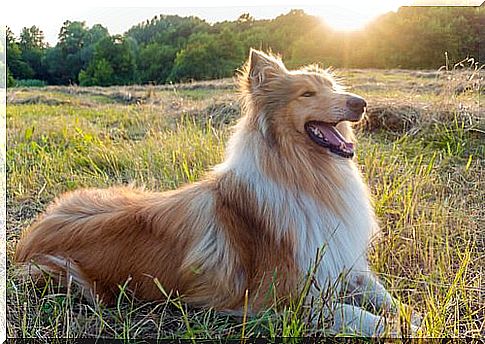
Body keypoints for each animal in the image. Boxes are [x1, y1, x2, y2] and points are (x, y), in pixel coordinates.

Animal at [16, 49, 420, 338]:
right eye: (307, 93)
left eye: (332, 88)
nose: (360, 103)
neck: (305, 175)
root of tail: (31, 234)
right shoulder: (286, 300)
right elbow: (366, 318)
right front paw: (409, 326)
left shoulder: (342, 266)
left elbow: (386, 297)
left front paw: (415, 314)